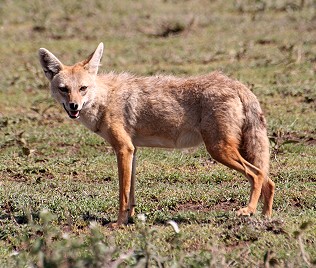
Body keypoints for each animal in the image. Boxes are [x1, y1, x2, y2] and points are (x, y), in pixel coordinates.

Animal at [39, 42, 274, 226]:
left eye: (83, 88)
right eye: (64, 89)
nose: (74, 106)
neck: (105, 99)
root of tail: (236, 84)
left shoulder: (123, 149)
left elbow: (122, 194)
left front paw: (118, 223)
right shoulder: (132, 150)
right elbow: (131, 193)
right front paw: (130, 219)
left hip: (219, 150)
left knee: (257, 175)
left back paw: (248, 210)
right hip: (235, 149)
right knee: (268, 181)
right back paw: (267, 218)